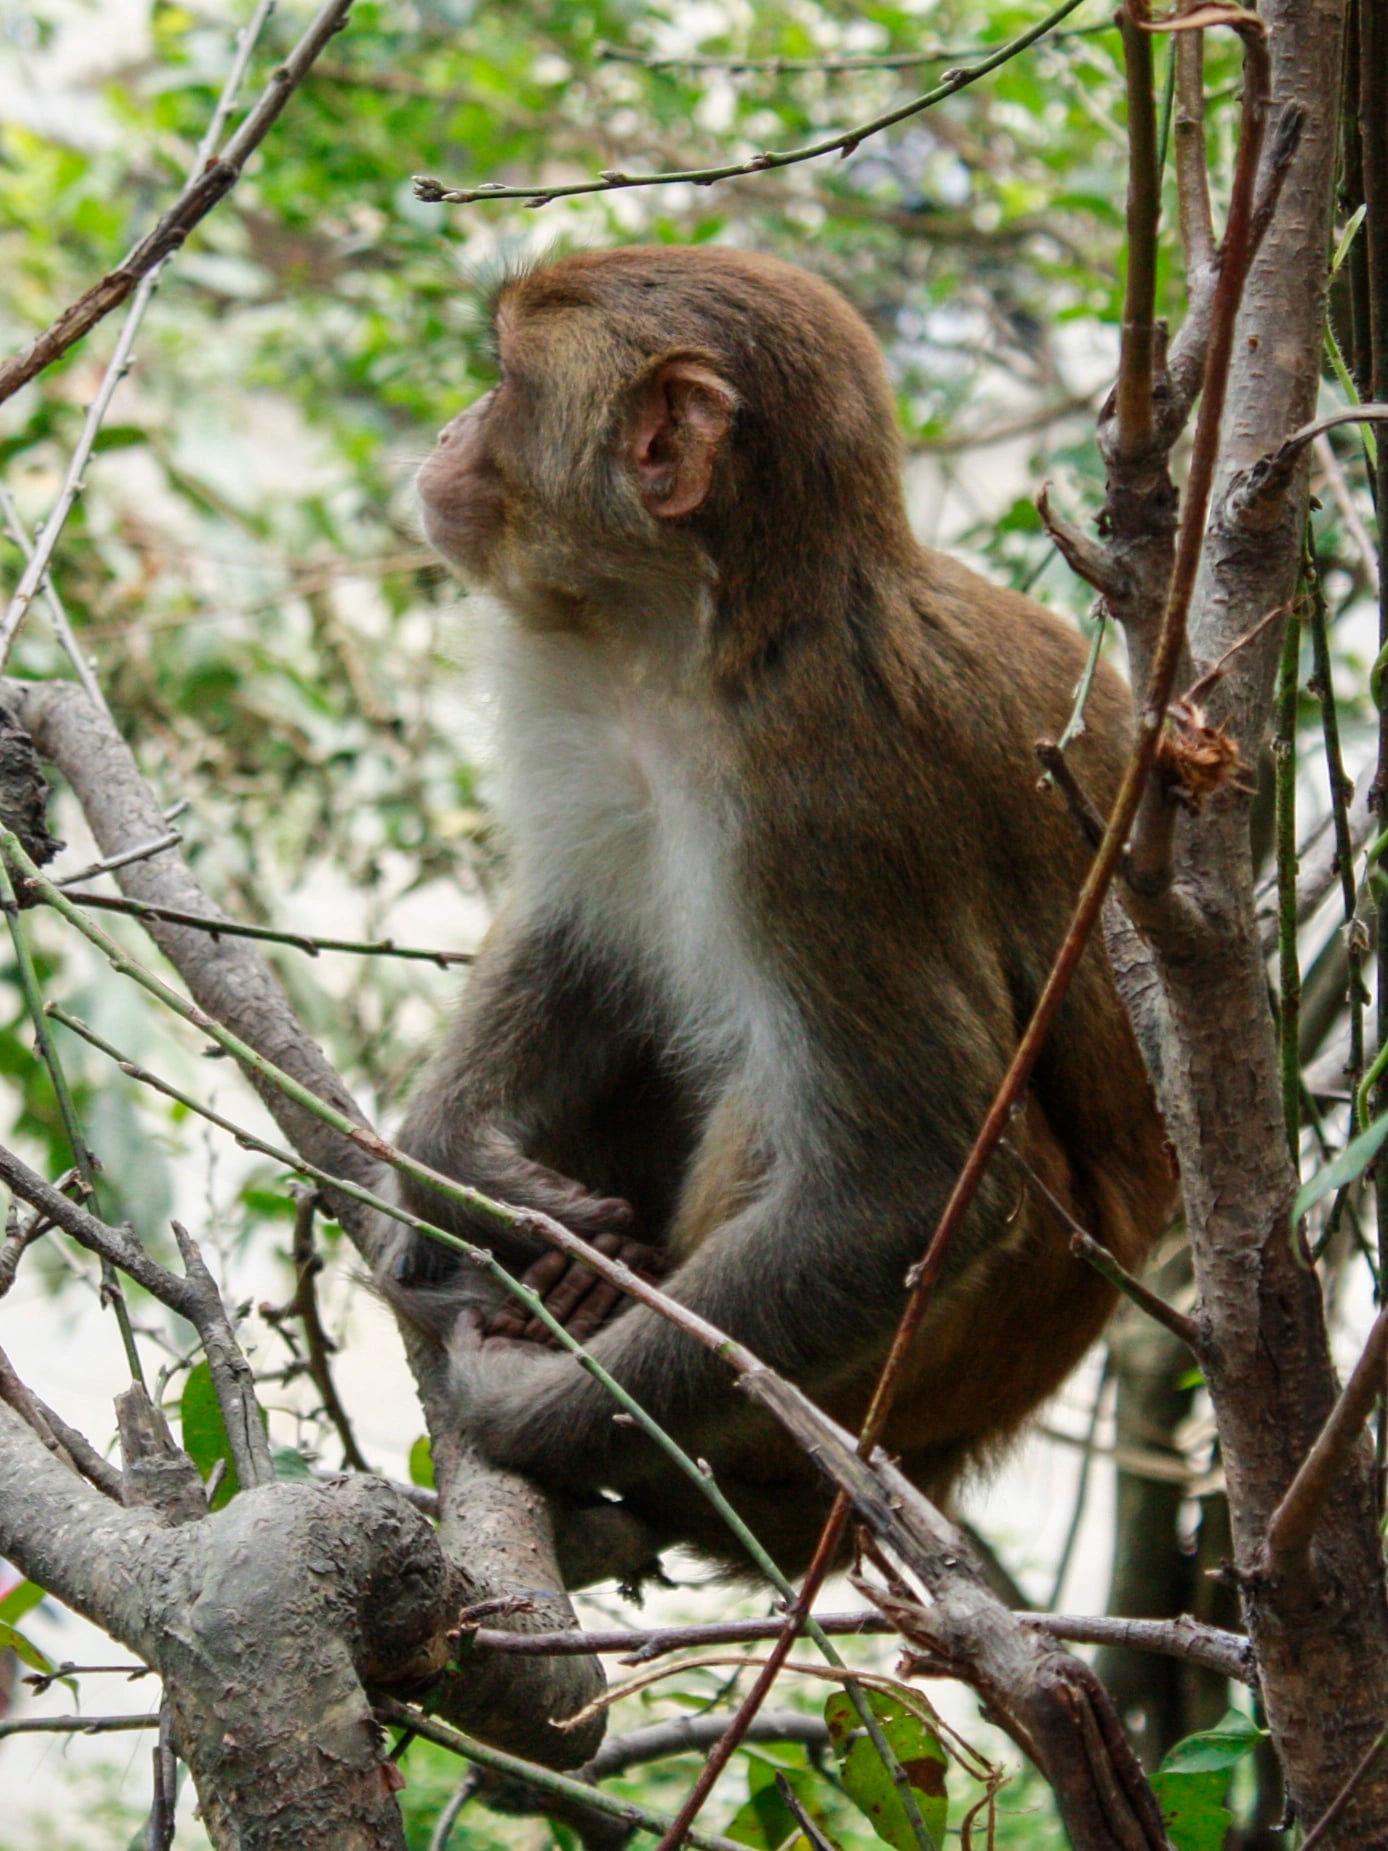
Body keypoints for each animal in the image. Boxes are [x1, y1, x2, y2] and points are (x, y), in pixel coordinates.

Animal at [389, 244, 1174, 1579]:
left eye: (504, 381)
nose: (446, 430)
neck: (695, 644)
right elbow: (585, 939)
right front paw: (456, 1165)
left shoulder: (819, 800)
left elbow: (905, 1191)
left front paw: (533, 1412)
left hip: (946, 1367)